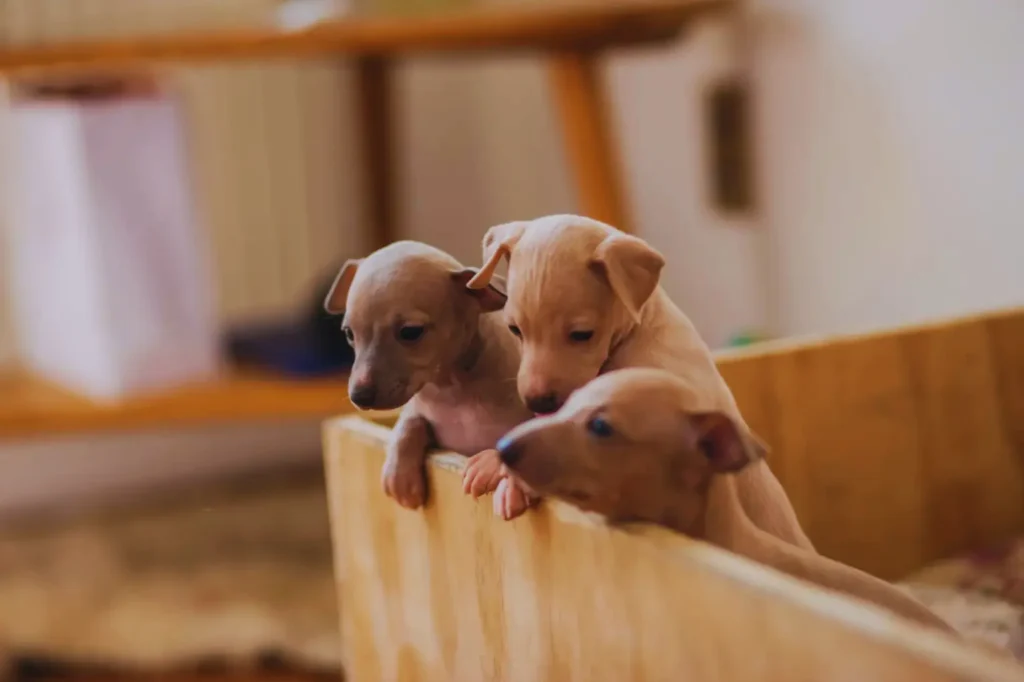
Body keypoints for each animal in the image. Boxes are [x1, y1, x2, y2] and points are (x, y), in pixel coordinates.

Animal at [325, 240, 536, 516]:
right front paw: (399, 474)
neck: (453, 391)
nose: (359, 397)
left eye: (411, 332)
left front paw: (497, 470)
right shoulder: (422, 411)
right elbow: (411, 421)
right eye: (349, 334)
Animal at [471, 212, 815, 548]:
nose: (537, 401)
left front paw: (508, 478)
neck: (635, 334)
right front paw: (493, 459)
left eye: (582, 334)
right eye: (514, 330)